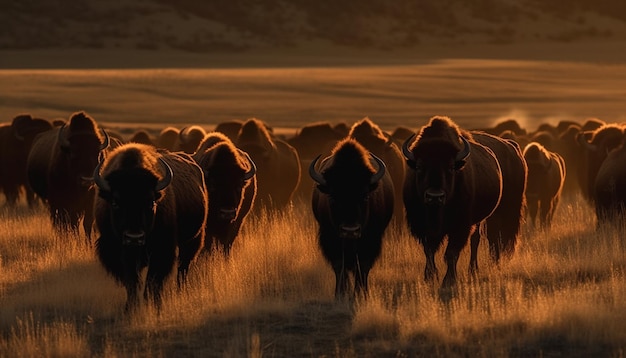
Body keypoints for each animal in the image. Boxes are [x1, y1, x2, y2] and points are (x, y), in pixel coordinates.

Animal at [26, 110, 109, 239]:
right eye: (73, 153)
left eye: (97, 154)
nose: (87, 180)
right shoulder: (60, 201)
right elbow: (67, 222)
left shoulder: (89, 201)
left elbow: (86, 223)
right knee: (59, 222)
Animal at [94, 143, 207, 314]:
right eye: (115, 202)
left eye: (151, 202)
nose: (134, 237)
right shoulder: (118, 251)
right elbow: (131, 281)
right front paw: (130, 308)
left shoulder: (161, 250)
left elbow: (152, 281)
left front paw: (154, 305)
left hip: (193, 240)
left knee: (183, 268)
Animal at [310, 138, 392, 300]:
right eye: (332, 197)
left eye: (365, 196)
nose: (350, 230)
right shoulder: (330, 238)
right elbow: (339, 265)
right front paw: (340, 294)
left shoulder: (371, 239)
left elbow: (363, 266)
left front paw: (361, 294)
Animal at [400, 116, 520, 290]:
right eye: (420, 166)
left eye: (451, 167)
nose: (434, 196)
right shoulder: (421, 226)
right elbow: (429, 251)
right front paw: (430, 276)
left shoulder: (460, 226)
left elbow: (451, 253)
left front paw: (449, 280)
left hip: (497, 214)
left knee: (485, 239)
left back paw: (475, 270)